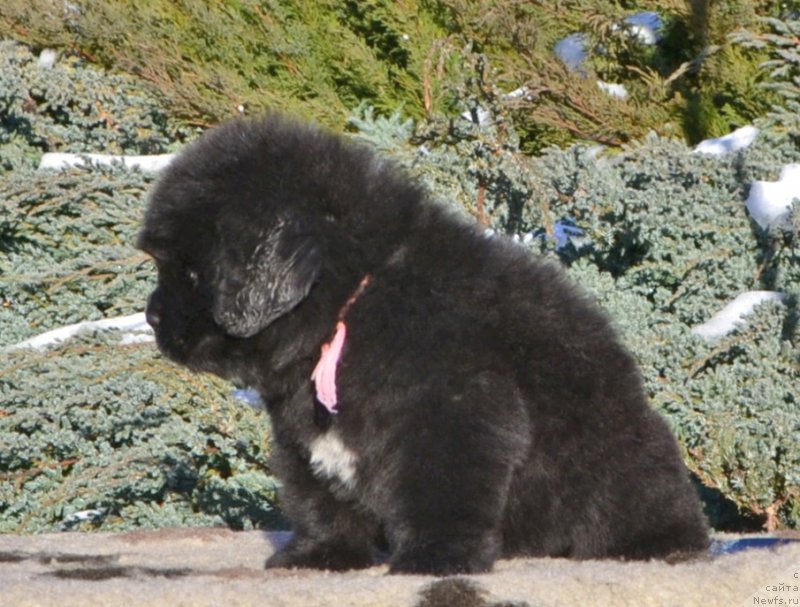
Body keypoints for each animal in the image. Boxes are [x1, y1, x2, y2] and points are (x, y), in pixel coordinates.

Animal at [139, 114, 712, 576]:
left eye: (191, 272)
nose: (149, 316)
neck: (353, 302)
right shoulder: (300, 437)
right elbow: (318, 500)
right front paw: (319, 557)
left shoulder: (453, 413)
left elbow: (440, 493)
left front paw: (433, 561)